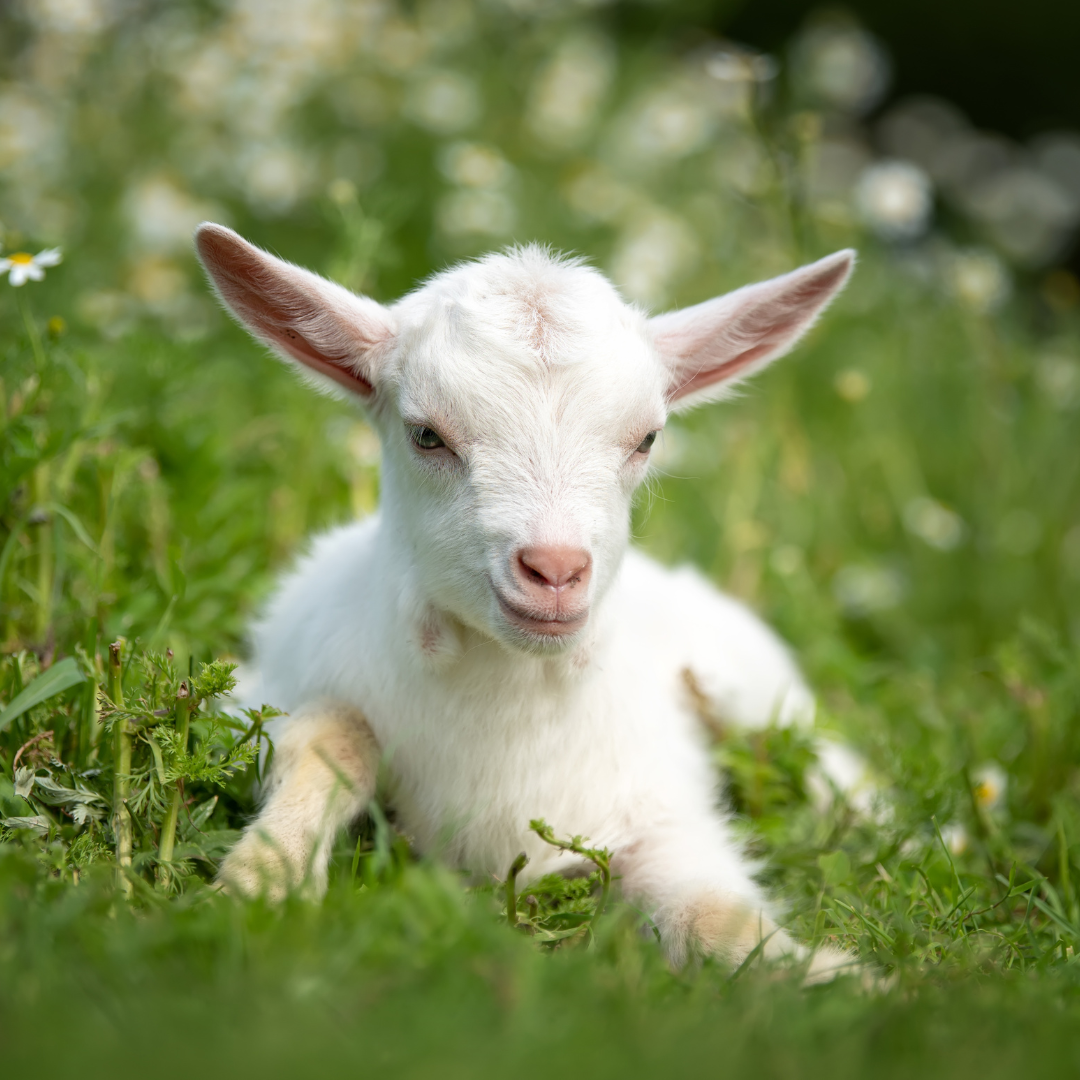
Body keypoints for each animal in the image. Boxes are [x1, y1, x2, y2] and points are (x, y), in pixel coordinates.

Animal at [192, 223, 851, 976]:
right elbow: (334, 734)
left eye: (647, 438)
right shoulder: (252, 699)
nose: (556, 569)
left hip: (759, 690)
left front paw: (838, 978)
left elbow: (716, 916)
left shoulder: (661, 807)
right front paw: (258, 886)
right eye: (426, 434)